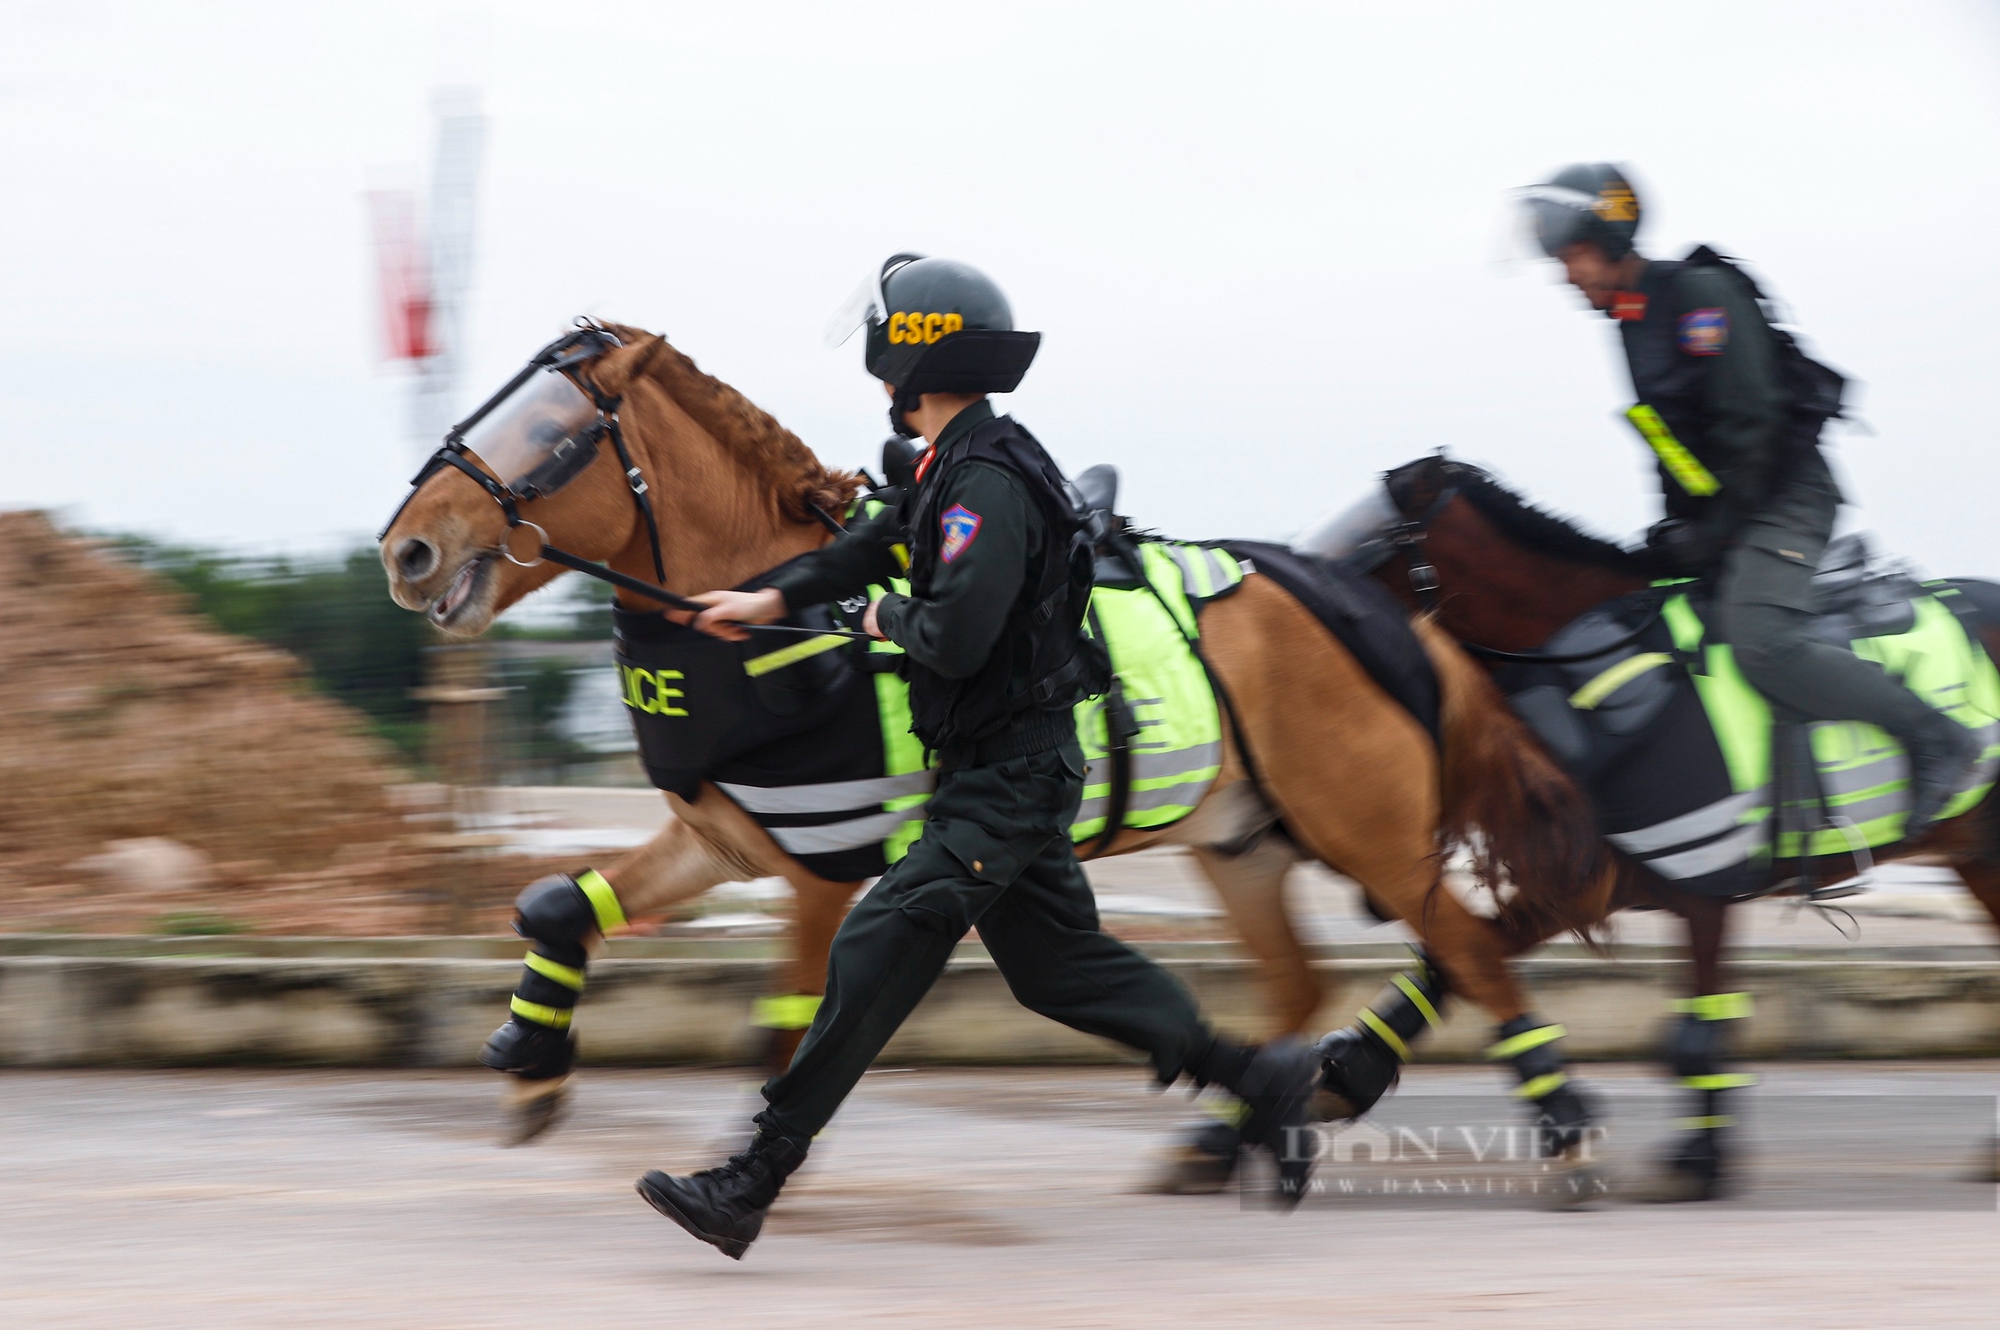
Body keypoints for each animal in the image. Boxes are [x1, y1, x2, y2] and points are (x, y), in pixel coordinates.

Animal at [376, 322, 1600, 1152]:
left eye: (553, 432)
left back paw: (1561, 1125)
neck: (789, 640)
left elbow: (788, 1024)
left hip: (1368, 831)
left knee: (1471, 949)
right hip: (1242, 842)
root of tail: (1376, 605)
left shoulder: (821, 870)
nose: (406, 550)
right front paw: (533, 1063)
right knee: (1300, 986)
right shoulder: (721, 837)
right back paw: (1234, 1135)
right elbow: (556, 902)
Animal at [1304, 452, 2000, 1200]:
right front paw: (1348, 1071)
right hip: (1979, 859)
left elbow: (1696, 1032)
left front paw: (1697, 1160)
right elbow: (1457, 959)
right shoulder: (1596, 881)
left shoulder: (1701, 883)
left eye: (1362, 547)